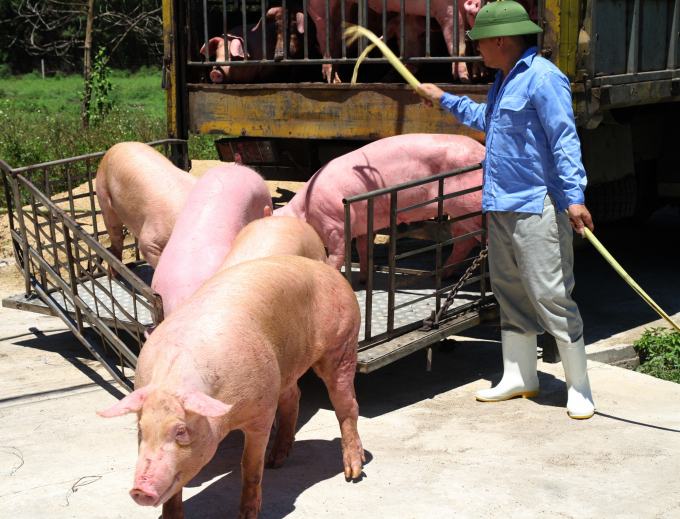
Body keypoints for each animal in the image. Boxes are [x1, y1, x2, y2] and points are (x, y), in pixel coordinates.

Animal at [97, 256, 364, 519]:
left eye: (181, 430)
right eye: (140, 430)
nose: (140, 489)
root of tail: (327, 269)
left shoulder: (262, 412)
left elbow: (250, 465)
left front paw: (247, 515)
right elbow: (175, 488)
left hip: (342, 344)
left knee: (347, 405)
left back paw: (352, 473)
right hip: (284, 370)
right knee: (294, 396)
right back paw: (275, 462)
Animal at [274, 132, 486, 282]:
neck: (304, 212)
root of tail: (482, 151)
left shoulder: (334, 224)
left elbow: (337, 254)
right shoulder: (363, 225)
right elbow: (363, 248)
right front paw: (364, 279)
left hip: (468, 205)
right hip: (457, 212)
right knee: (464, 242)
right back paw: (440, 276)